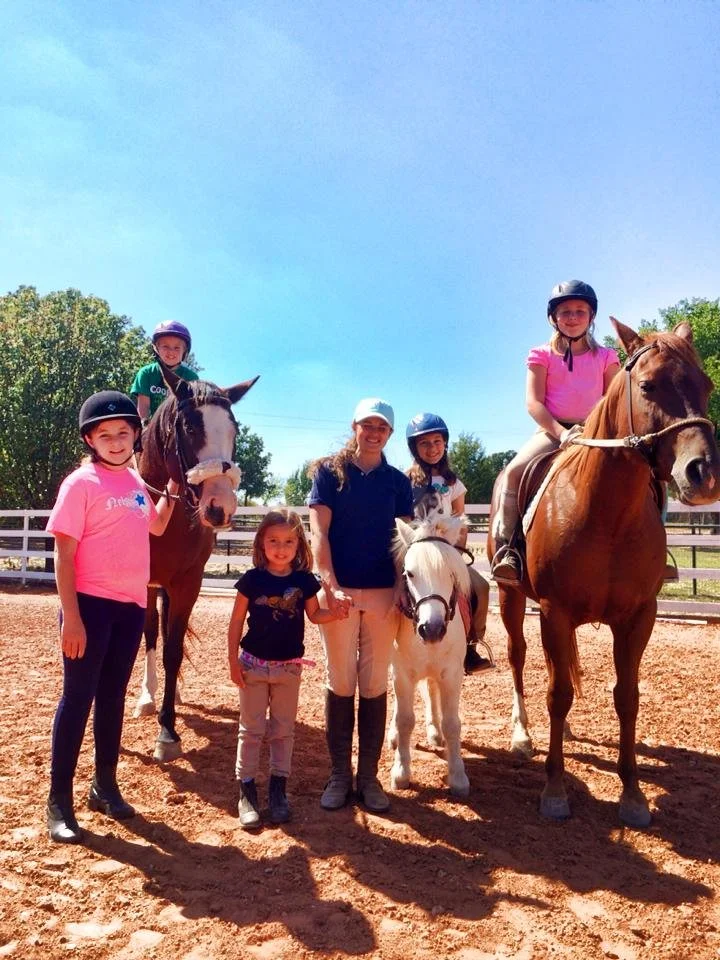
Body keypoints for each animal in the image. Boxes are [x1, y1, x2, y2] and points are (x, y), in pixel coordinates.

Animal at [134, 364, 258, 761]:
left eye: (234, 429)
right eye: (190, 427)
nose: (221, 507)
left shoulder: (188, 584)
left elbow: (173, 650)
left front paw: (167, 730)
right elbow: (151, 638)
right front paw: (156, 709)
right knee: (150, 633)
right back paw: (148, 695)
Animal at [389, 507, 472, 797]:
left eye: (451, 573)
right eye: (410, 574)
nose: (432, 629)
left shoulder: (452, 674)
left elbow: (452, 724)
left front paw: (458, 777)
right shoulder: (402, 674)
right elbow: (404, 720)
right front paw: (401, 773)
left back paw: (435, 732)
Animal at [487, 319, 720, 827]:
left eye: (707, 385)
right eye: (648, 386)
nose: (704, 474)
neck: (605, 512)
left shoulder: (637, 617)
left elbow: (626, 697)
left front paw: (632, 794)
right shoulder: (554, 612)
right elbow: (556, 693)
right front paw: (554, 789)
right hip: (512, 598)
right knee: (518, 658)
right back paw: (523, 734)